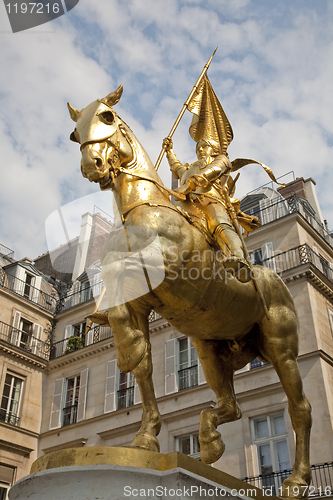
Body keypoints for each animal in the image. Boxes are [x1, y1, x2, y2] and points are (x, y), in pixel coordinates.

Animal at [68, 87, 312, 500]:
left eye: (107, 117)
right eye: (74, 134)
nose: (92, 165)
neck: (144, 209)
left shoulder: (162, 265)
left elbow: (123, 276)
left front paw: (125, 345)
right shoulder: (140, 304)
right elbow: (143, 362)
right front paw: (146, 434)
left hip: (281, 349)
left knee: (300, 409)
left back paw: (295, 480)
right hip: (209, 349)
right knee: (231, 406)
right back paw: (209, 440)